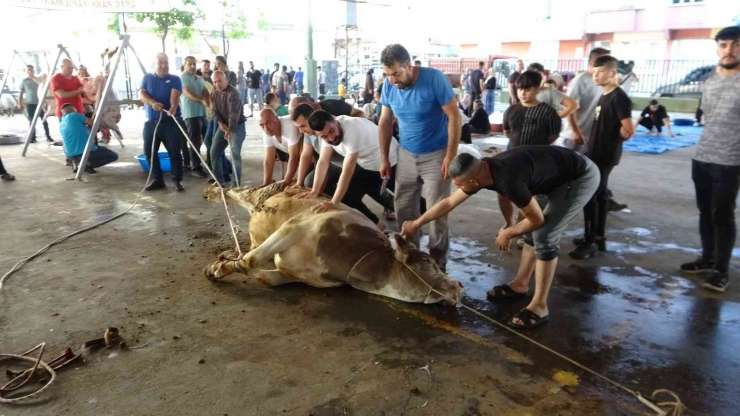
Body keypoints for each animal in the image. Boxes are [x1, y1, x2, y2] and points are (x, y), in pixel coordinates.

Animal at [202, 185, 462, 306]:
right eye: (427, 260)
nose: (459, 285)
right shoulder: (294, 227)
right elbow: (251, 260)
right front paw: (218, 268)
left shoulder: (296, 274)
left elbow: (261, 275)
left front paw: (222, 264)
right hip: (260, 194)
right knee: (235, 191)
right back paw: (212, 190)